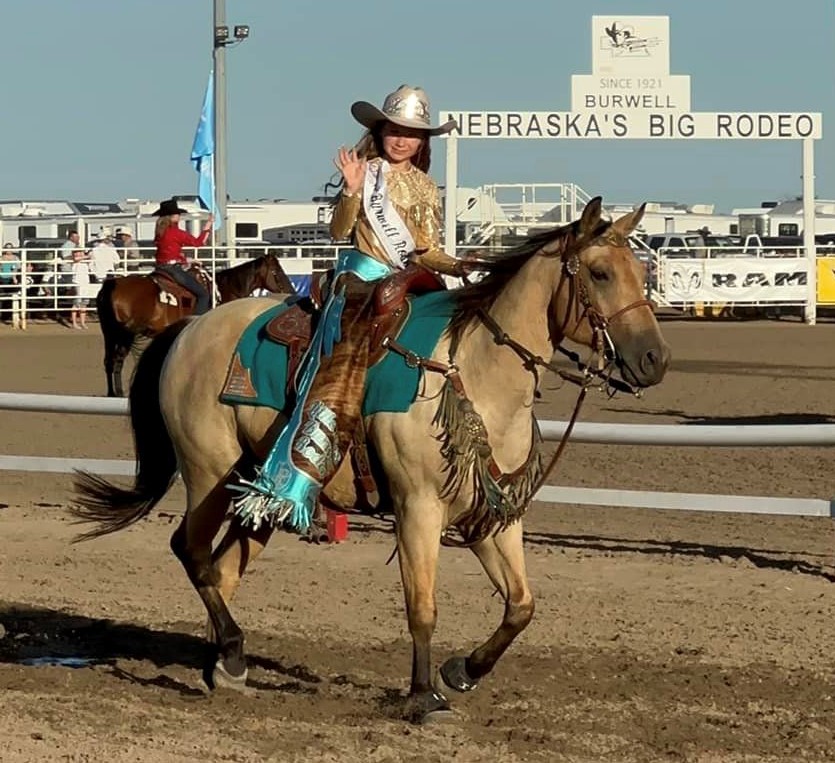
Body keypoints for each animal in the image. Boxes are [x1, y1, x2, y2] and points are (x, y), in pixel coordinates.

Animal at [97, 256, 298, 400]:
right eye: (277, 271)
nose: (292, 292)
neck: (223, 290)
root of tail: (112, 284)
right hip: (125, 334)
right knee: (117, 360)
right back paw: (119, 392)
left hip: (110, 333)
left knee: (109, 361)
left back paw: (112, 393)